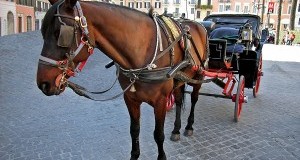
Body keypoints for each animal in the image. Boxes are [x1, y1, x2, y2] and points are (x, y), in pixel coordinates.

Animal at [35, 0, 207, 159]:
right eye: (42, 32)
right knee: (178, 100)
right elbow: (134, 130)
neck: (141, 52)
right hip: (179, 80)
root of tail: (197, 25)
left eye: (60, 34)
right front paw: (134, 155)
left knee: (194, 98)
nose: (43, 83)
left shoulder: (160, 101)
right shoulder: (130, 99)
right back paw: (176, 129)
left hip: (199, 75)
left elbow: (158, 134)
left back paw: (189, 127)